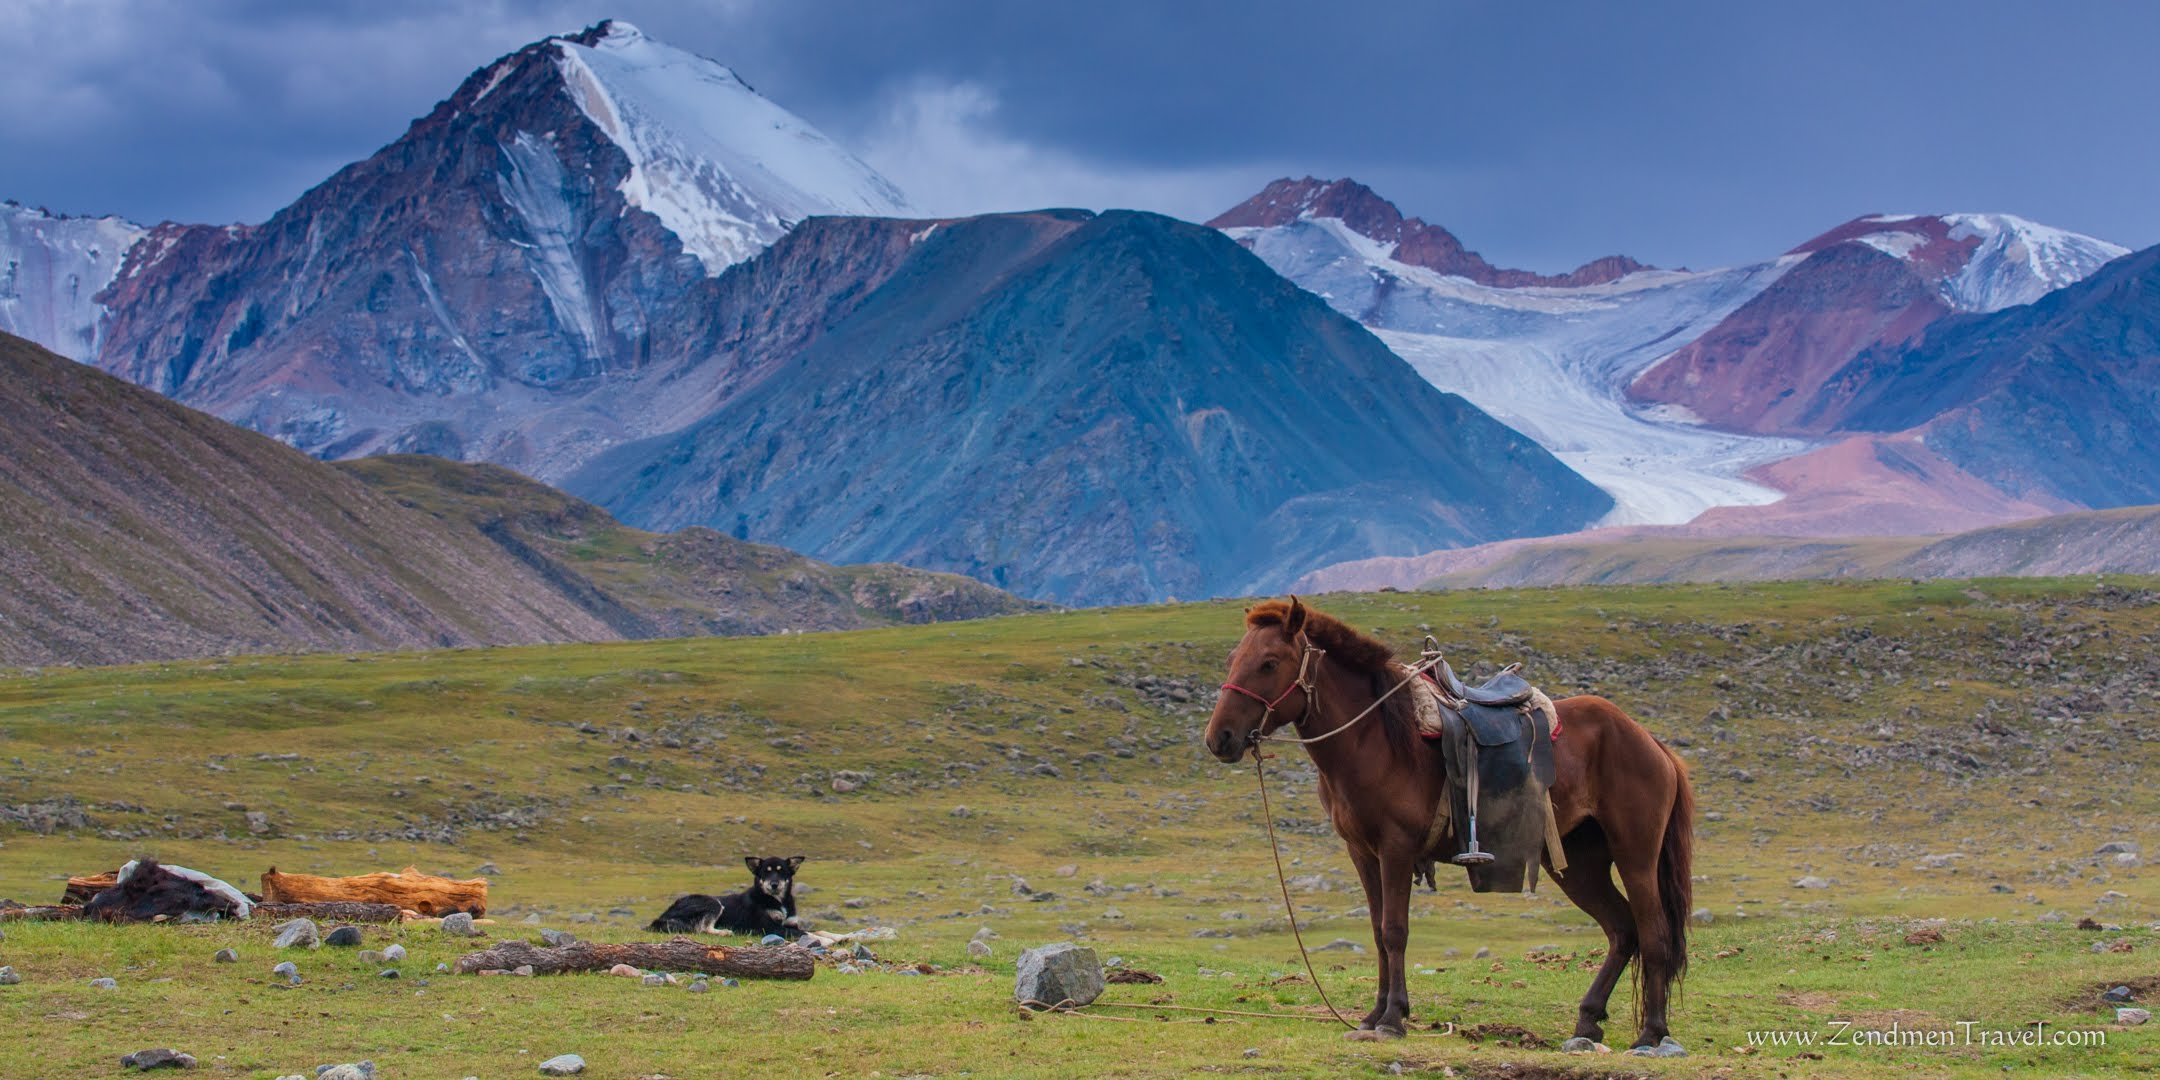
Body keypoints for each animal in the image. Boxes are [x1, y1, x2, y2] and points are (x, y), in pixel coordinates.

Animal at [652, 851, 807, 937]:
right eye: (765, 873)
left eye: (782, 872)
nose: (774, 884)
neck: (777, 900)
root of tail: (663, 916)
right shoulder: (769, 926)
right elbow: (806, 933)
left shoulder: (791, 924)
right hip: (712, 902)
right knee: (703, 929)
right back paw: (724, 932)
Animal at [1209, 596, 1693, 1049]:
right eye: (1233, 658)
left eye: (1269, 663)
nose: (1220, 739)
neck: (1374, 739)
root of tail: (1650, 741)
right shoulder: (1362, 853)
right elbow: (1377, 931)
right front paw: (1373, 1016)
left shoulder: (1396, 848)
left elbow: (1394, 931)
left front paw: (1392, 1019)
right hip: (1578, 864)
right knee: (1622, 929)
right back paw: (1588, 1021)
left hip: (1635, 855)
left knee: (1653, 933)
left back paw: (1651, 1033)